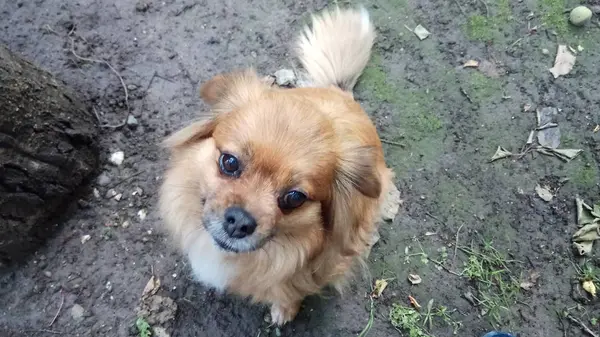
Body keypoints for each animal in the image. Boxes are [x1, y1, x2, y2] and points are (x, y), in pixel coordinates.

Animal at [157, 6, 396, 324]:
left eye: (294, 198)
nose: (239, 221)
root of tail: (342, 92)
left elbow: (290, 291)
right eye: (229, 162)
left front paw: (285, 309)